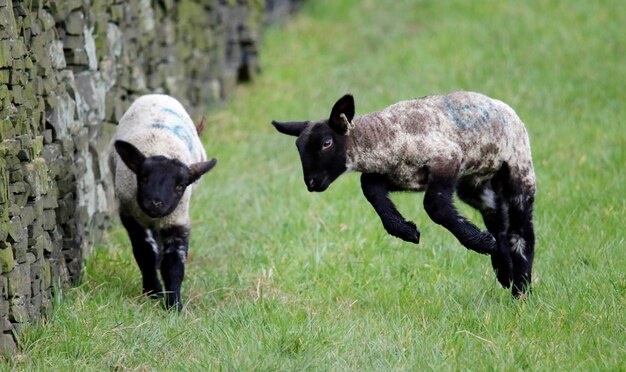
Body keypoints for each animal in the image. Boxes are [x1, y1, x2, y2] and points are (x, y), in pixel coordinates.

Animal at [107, 93, 214, 310]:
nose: (156, 203)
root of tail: (158, 95)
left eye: (180, 186)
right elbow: (144, 253)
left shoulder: (178, 221)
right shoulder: (131, 216)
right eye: (143, 178)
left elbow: (173, 264)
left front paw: (174, 305)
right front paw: (153, 292)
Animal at [270, 91, 532, 298]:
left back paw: (521, 289)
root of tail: (502, 106)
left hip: (519, 167)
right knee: (500, 223)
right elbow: (369, 188)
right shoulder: (400, 177)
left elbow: (434, 205)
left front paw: (481, 242)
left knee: (521, 230)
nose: (311, 183)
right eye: (298, 148)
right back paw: (505, 270)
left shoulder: (447, 157)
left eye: (327, 142)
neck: (384, 136)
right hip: (476, 187)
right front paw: (406, 231)